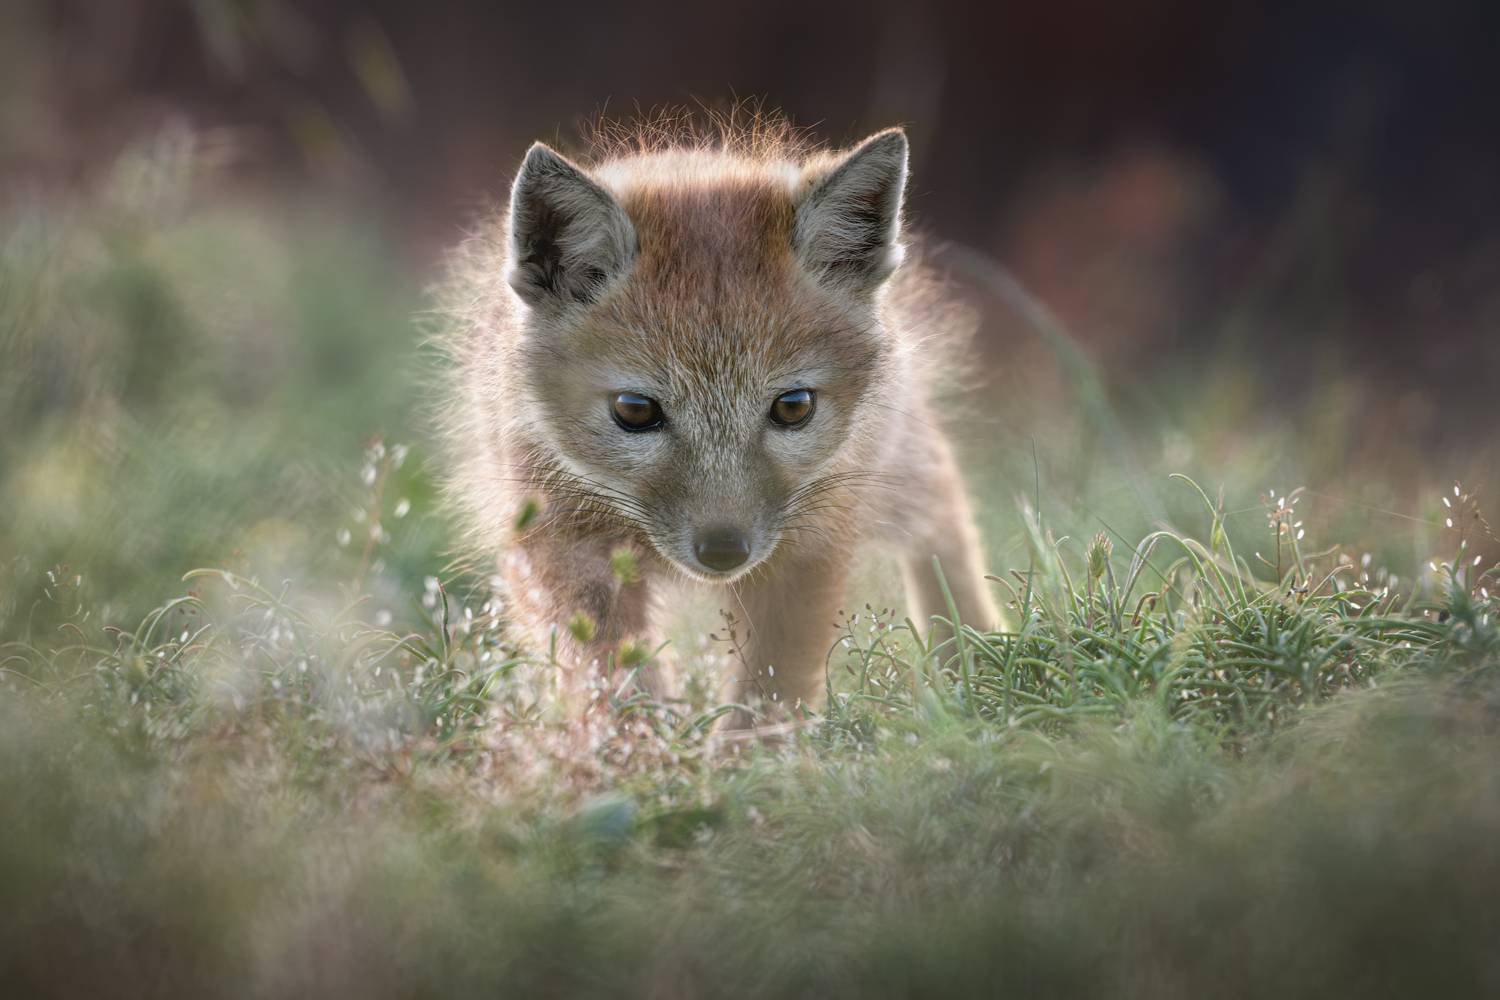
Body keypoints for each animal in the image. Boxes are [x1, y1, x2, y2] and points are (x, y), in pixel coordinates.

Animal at [439, 116, 998, 730]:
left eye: (793, 406)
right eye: (635, 411)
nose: (725, 550)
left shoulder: (807, 546)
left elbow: (770, 691)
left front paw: (749, 755)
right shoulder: (561, 546)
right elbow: (609, 677)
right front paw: (636, 750)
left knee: (944, 511)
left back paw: (973, 655)